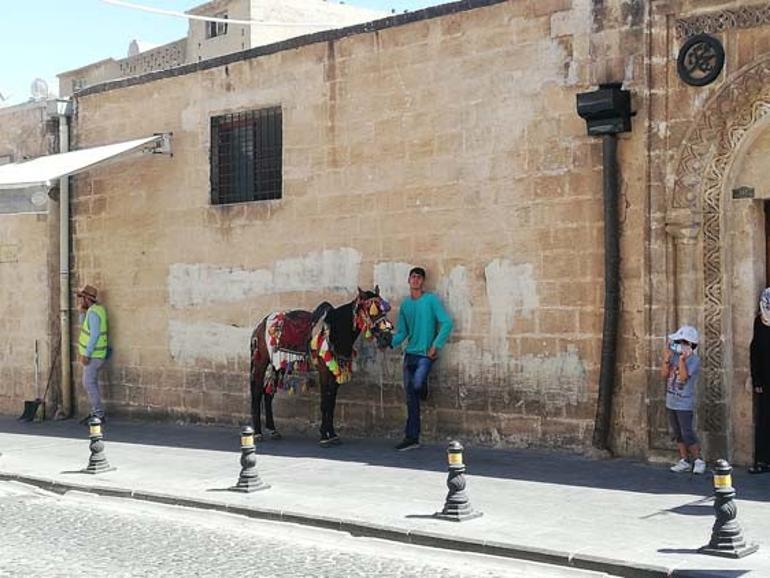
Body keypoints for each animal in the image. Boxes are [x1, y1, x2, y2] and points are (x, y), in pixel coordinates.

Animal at [248, 286, 390, 444]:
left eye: (384, 310)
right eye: (371, 310)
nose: (387, 336)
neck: (335, 331)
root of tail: (261, 324)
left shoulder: (335, 371)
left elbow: (331, 403)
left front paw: (332, 435)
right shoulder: (323, 371)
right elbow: (324, 403)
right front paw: (324, 436)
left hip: (278, 365)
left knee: (268, 393)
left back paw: (273, 430)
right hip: (261, 362)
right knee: (257, 392)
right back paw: (257, 433)